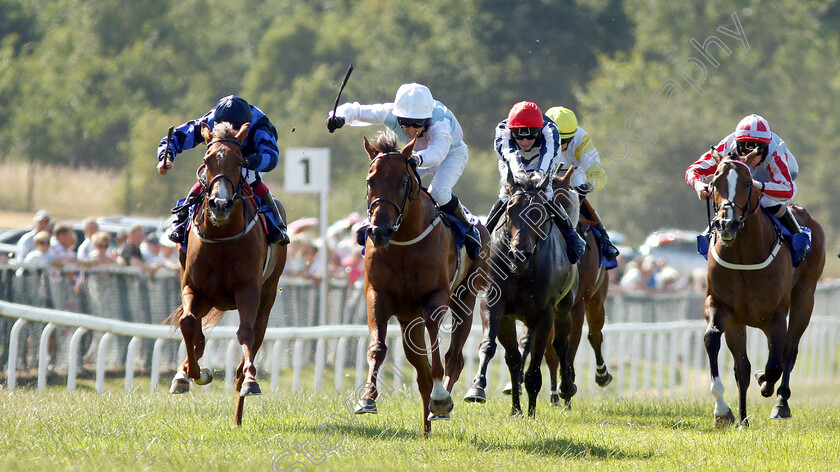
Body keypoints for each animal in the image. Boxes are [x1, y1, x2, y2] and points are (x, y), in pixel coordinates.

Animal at [166, 121, 288, 428]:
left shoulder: (248, 291)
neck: (222, 235)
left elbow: (245, 334)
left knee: (256, 336)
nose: (220, 204)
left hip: (267, 295)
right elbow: (187, 323)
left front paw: (250, 381)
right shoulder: (193, 288)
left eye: (240, 161)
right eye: (207, 160)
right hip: (207, 299)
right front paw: (190, 374)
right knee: (195, 330)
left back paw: (239, 407)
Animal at [356, 130, 488, 436]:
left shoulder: (435, 296)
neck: (404, 240)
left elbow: (437, 350)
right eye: (370, 181)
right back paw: (426, 426)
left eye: (403, 182)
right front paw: (367, 398)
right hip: (407, 322)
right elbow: (378, 347)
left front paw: (441, 399)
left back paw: (440, 406)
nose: (379, 231)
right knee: (420, 371)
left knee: (454, 357)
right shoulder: (377, 295)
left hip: (465, 298)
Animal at [462, 167, 580, 416]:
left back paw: (566, 388)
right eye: (510, 210)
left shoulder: (544, 312)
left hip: (564, 307)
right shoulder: (495, 303)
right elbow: (493, 347)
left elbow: (536, 363)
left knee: (562, 344)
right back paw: (516, 406)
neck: (522, 269)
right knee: (515, 356)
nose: (519, 253)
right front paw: (477, 388)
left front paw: (532, 413)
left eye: (539, 213)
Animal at [704, 148, 828, 428]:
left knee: (789, 352)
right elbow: (714, 341)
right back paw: (742, 418)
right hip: (739, 321)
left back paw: (781, 403)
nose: (727, 224)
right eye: (714, 182)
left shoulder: (776, 316)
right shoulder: (721, 307)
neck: (743, 256)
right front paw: (723, 411)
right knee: (742, 367)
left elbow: (775, 365)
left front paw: (765, 382)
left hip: (805, 296)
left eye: (747, 183)